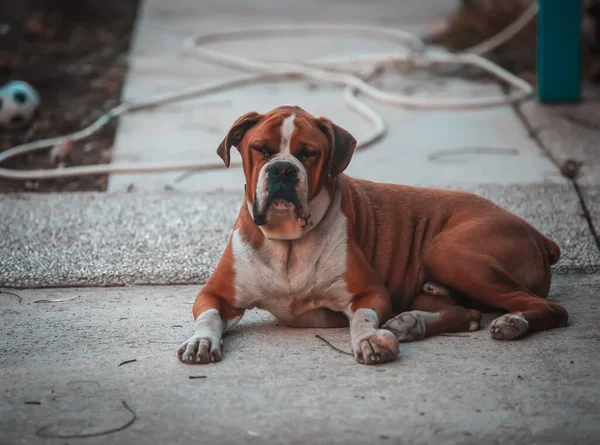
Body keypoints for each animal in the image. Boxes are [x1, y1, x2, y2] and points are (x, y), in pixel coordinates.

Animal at [177, 104, 568, 364]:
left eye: (310, 153)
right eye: (261, 149)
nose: (284, 170)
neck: (288, 242)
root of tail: (538, 234)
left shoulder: (369, 293)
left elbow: (362, 318)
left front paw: (368, 340)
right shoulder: (215, 294)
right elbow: (208, 316)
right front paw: (200, 341)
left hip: (447, 251)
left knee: (550, 308)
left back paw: (513, 322)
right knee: (469, 314)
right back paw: (412, 323)